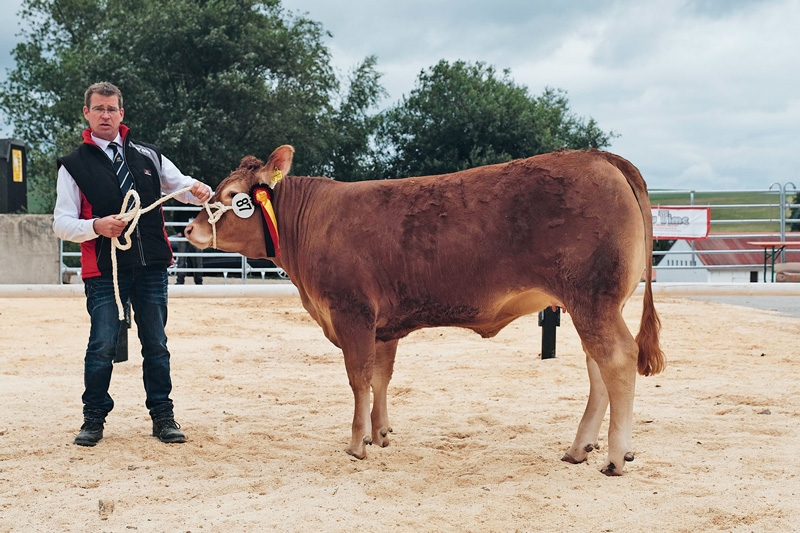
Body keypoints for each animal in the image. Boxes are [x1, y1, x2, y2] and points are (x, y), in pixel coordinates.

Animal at [186, 144, 664, 474]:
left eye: (233, 195)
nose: (189, 229)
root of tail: (598, 156)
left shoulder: (351, 313)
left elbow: (358, 379)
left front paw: (356, 443)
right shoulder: (383, 325)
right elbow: (380, 379)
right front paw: (379, 434)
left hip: (593, 299)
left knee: (618, 359)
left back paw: (616, 456)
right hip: (592, 303)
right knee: (597, 367)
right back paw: (579, 448)